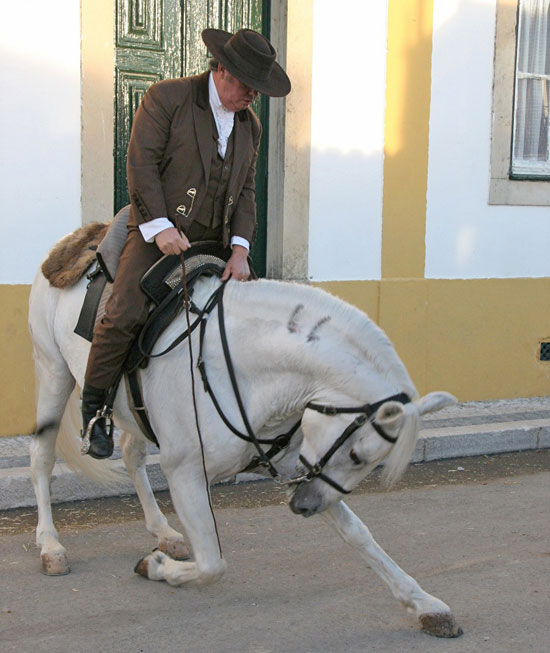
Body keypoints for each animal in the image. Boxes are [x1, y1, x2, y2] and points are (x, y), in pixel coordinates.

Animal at [28, 250, 462, 638]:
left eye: (369, 463)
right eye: (356, 454)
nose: (304, 506)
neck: (243, 369)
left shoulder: (296, 467)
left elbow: (359, 535)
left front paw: (425, 604)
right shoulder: (186, 473)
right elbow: (212, 565)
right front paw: (156, 568)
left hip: (134, 412)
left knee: (133, 456)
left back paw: (163, 532)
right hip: (53, 373)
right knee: (42, 458)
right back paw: (50, 545)